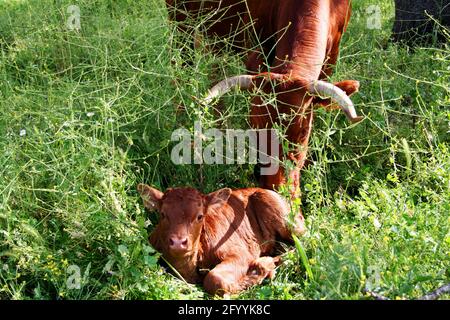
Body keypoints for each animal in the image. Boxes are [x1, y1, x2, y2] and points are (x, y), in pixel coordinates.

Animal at [137, 182, 306, 296]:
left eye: (200, 216)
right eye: (162, 214)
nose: (178, 242)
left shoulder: (240, 253)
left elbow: (214, 279)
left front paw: (258, 270)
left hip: (288, 221)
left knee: (303, 245)